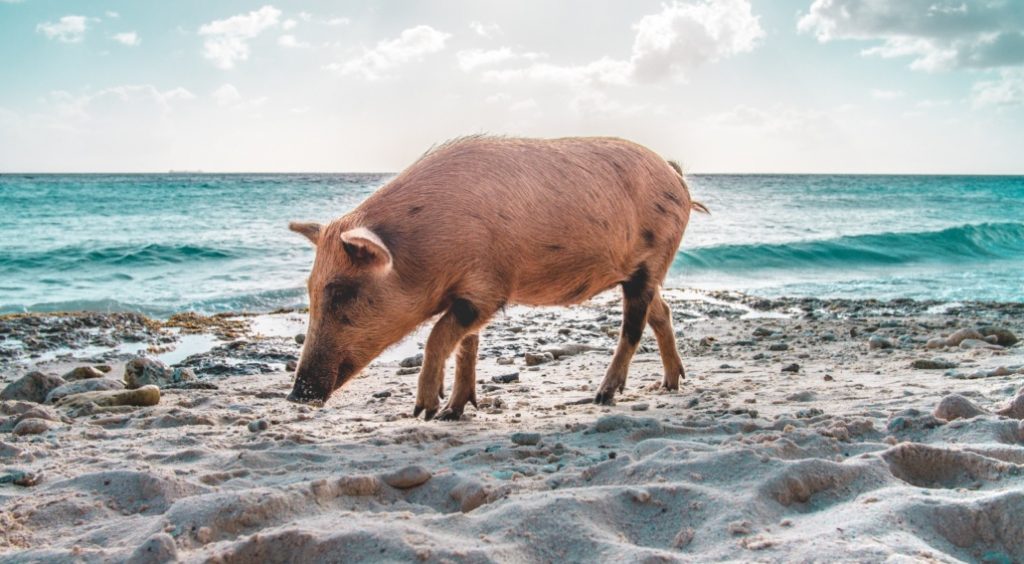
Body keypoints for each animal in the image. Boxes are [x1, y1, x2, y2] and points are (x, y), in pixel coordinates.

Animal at [288, 135, 707, 420]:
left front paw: (424, 410)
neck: (424, 250)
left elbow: (439, 334)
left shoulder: (488, 288)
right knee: (661, 312)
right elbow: (466, 345)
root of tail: (674, 174)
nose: (297, 395)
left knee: (633, 326)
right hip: (643, 271)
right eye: (310, 291)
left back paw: (603, 396)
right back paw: (670, 383)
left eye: (341, 292)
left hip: (652, 258)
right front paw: (451, 413)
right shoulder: (469, 295)